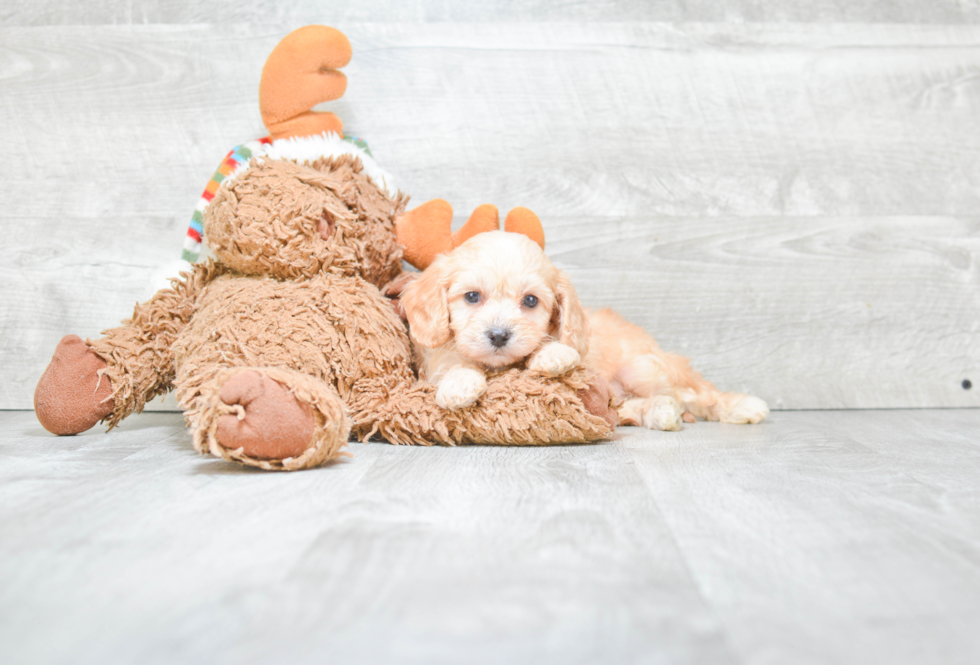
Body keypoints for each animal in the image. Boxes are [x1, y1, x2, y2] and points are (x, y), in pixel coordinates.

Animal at [398, 231, 764, 430]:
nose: (499, 336)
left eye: (530, 301)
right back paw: (662, 413)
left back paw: (741, 406)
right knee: (648, 405)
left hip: (644, 368)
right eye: (472, 296)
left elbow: (555, 347)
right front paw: (460, 384)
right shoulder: (435, 359)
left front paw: (553, 355)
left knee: (694, 393)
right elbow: (455, 364)